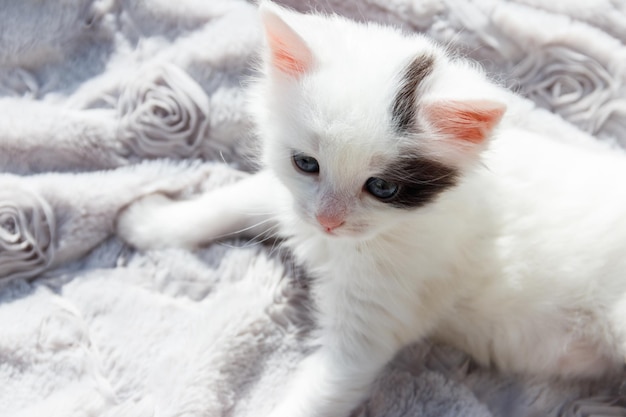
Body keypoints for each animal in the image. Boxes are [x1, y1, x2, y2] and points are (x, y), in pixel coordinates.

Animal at [114, 1, 624, 414]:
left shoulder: (377, 314)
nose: (328, 220)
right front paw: (150, 222)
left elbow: (328, 384)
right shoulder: (292, 201)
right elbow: (236, 197)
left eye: (382, 187)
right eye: (306, 163)